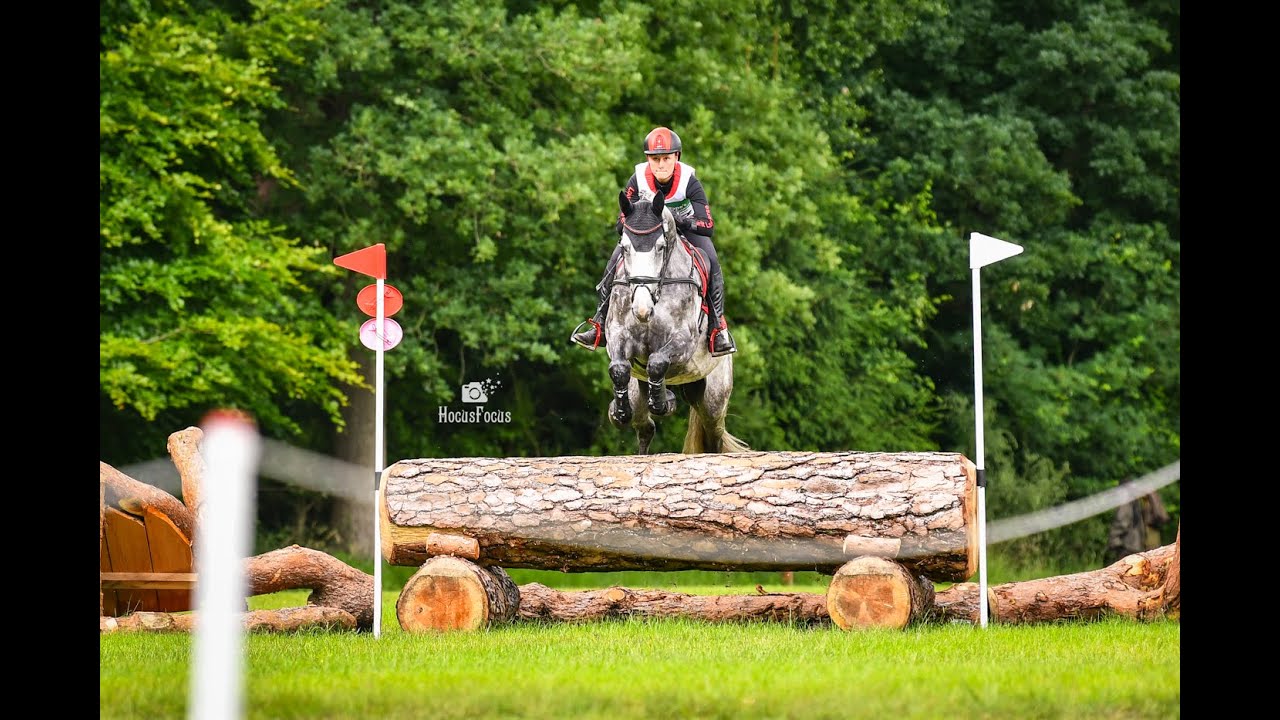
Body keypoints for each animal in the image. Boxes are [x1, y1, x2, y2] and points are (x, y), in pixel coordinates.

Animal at [602, 190, 749, 455]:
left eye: (660, 247)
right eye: (625, 248)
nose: (641, 309)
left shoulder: (683, 342)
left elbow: (658, 362)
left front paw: (664, 403)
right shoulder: (617, 335)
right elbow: (619, 368)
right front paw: (620, 412)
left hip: (713, 398)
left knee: (714, 436)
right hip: (645, 389)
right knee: (645, 426)